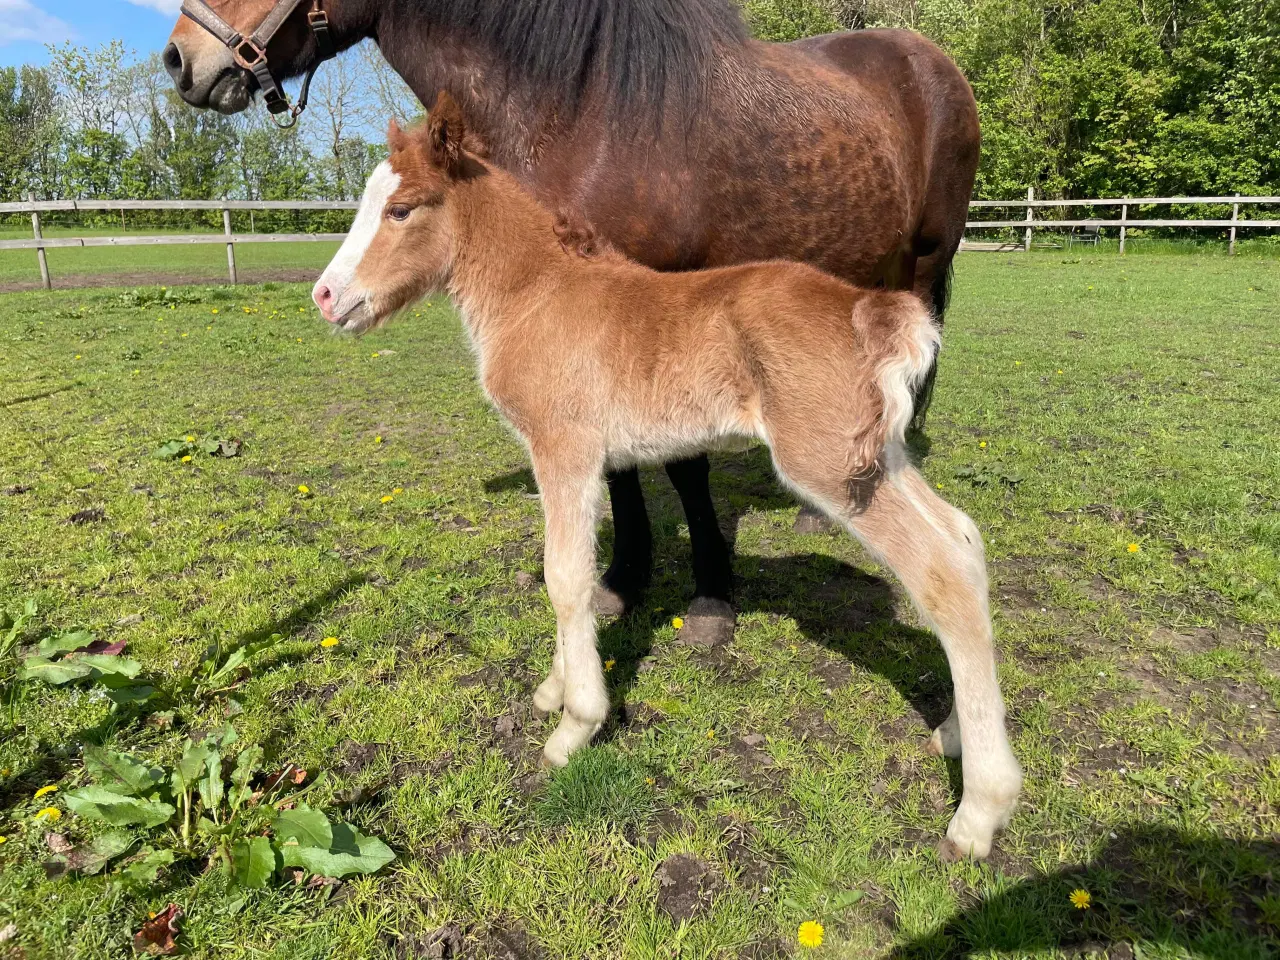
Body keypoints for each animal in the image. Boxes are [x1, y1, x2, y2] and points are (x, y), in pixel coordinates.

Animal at [162, 0, 977, 642]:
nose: (180, 58)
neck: (587, 112)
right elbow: (617, 467)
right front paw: (622, 580)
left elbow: (684, 464)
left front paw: (711, 597)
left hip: (924, 261)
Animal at [314, 97, 1024, 860]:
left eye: (401, 210)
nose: (326, 296)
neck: (537, 295)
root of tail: (868, 311)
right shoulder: (589, 459)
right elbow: (574, 575)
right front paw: (554, 688)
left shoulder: (563, 450)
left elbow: (566, 579)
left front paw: (574, 724)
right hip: (876, 459)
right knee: (963, 539)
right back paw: (954, 733)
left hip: (829, 467)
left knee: (942, 571)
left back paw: (979, 811)